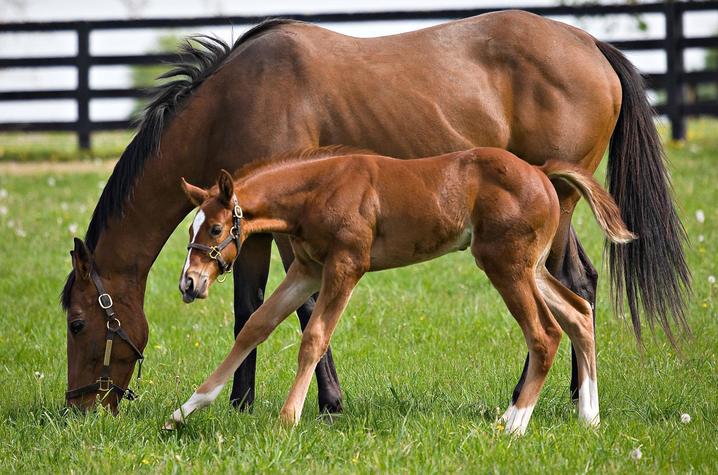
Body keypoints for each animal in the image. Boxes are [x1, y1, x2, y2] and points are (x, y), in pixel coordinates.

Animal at [166, 146, 635, 434]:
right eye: (190, 229)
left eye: (214, 228)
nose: (189, 282)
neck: (319, 190)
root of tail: (539, 172)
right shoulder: (308, 269)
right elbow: (255, 327)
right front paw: (185, 410)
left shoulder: (346, 266)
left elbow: (314, 337)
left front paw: (287, 419)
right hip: (531, 267)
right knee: (578, 313)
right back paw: (589, 416)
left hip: (506, 266)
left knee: (545, 333)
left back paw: (514, 424)